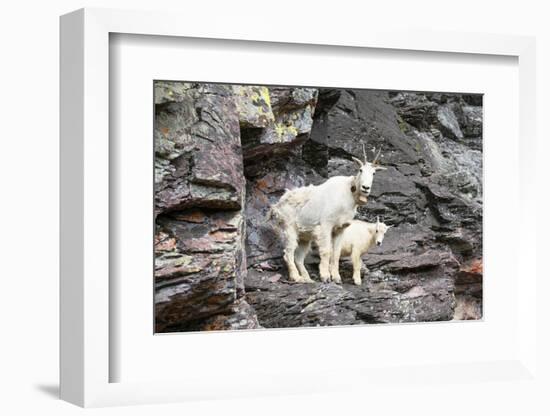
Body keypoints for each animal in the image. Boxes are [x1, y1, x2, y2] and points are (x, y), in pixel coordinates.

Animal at [270, 145, 386, 284]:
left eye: (374, 173)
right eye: (360, 170)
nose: (365, 188)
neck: (347, 195)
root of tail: (277, 205)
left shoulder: (341, 228)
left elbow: (336, 253)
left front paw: (336, 278)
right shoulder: (326, 224)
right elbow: (326, 251)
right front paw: (325, 276)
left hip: (304, 236)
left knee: (298, 257)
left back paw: (308, 279)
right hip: (289, 228)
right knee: (288, 253)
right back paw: (296, 277)